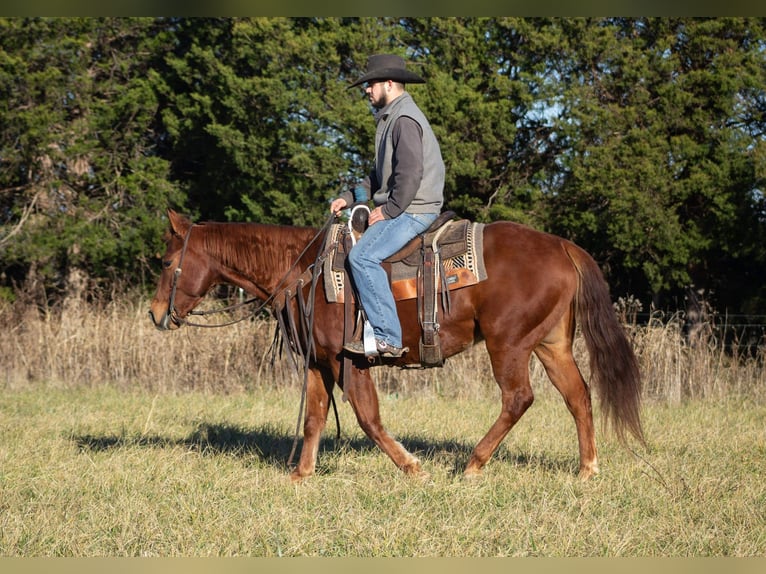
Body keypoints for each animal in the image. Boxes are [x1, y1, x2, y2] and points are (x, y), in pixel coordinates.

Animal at [148, 210, 640, 482]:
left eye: (168, 262)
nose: (155, 314)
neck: (304, 272)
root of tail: (561, 246)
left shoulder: (349, 362)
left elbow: (368, 418)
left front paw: (412, 468)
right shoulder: (319, 363)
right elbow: (314, 419)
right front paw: (301, 474)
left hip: (509, 343)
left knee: (519, 398)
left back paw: (472, 464)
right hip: (550, 345)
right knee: (578, 396)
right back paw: (586, 469)